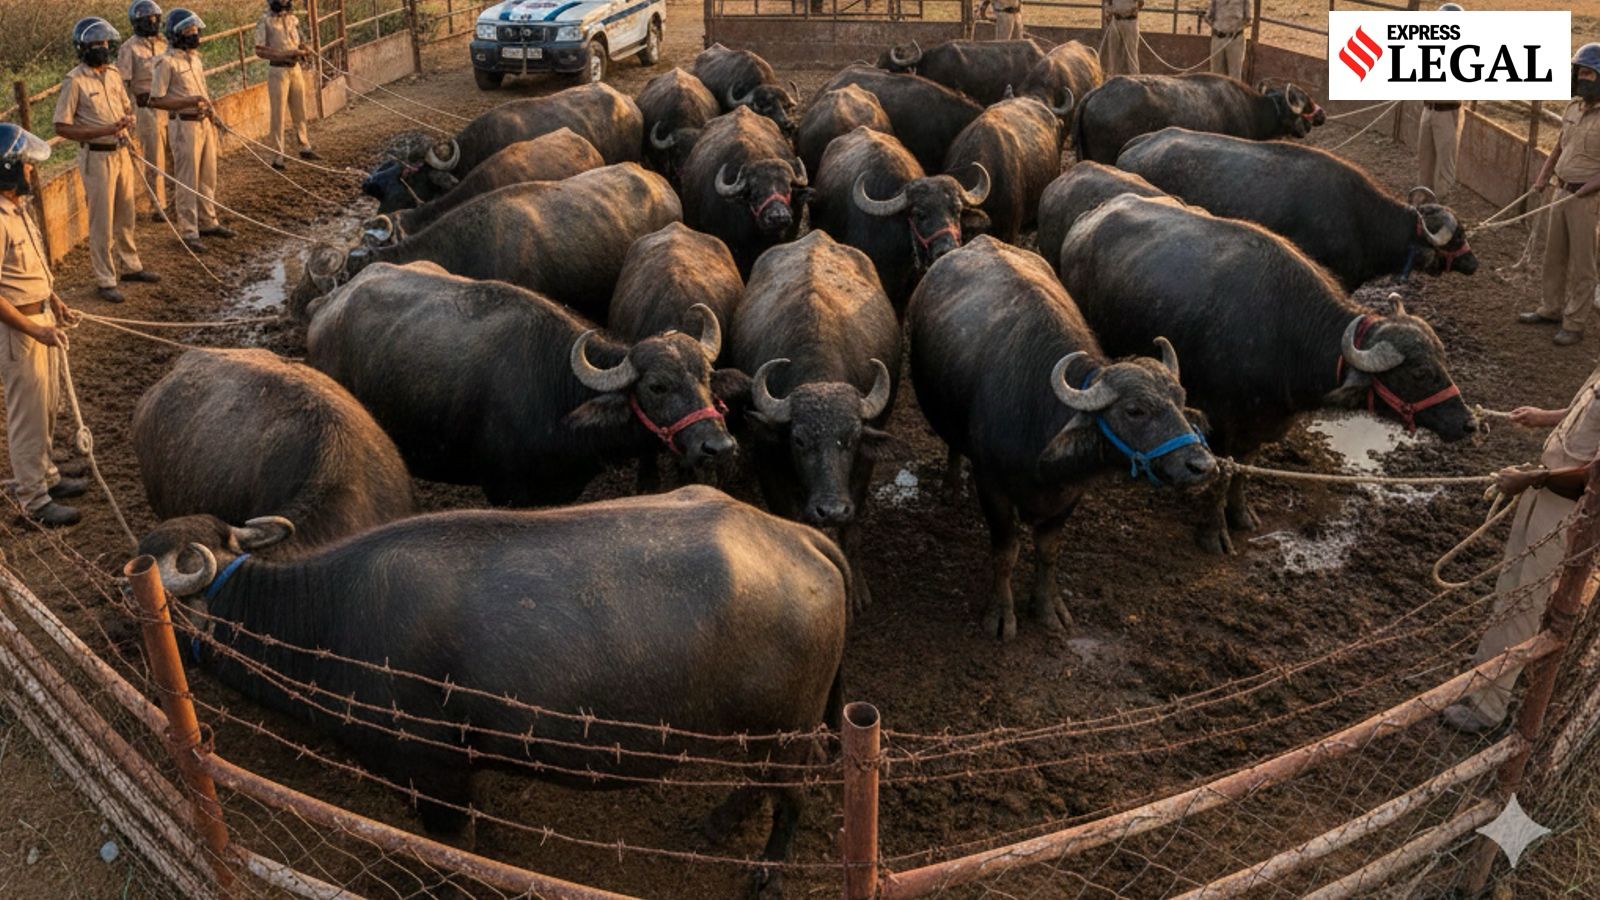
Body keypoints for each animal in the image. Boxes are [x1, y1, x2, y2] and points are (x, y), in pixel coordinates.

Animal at [137, 484, 848, 894]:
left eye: (133, 579)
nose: (120, 616)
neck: (324, 617)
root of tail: (797, 536)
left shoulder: (435, 776)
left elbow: (454, 849)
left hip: (786, 728)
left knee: (794, 792)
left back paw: (767, 874)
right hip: (758, 731)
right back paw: (719, 823)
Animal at [305, 262, 742, 506]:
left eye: (706, 377)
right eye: (656, 387)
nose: (718, 446)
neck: (557, 393)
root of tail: (327, 306)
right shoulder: (506, 490)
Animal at [732, 231, 900, 611]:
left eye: (850, 438)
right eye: (799, 440)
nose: (831, 510)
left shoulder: (863, 467)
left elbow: (853, 528)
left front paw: (858, 591)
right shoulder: (768, 463)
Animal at [907, 236, 1216, 640]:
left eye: (1180, 400)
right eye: (1134, 410)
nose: (1202, 466)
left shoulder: (1071, 492)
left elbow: (1049, 550)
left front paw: (1047, 607)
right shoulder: (992, 486)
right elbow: (1006, 552)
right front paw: (1001, 614)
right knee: (954, 445)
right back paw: (950, 485)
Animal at [1058, 194, 1476, 553]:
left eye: (1443, 360)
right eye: (1419, 372)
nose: (1468, 423)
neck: (1286, 334)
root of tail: (1087, 221)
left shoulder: (1259, 425)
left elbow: (1244, 472)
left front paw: (1242, 514)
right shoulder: (1220, 425)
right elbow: (1220, 477)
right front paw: (1214, 533)